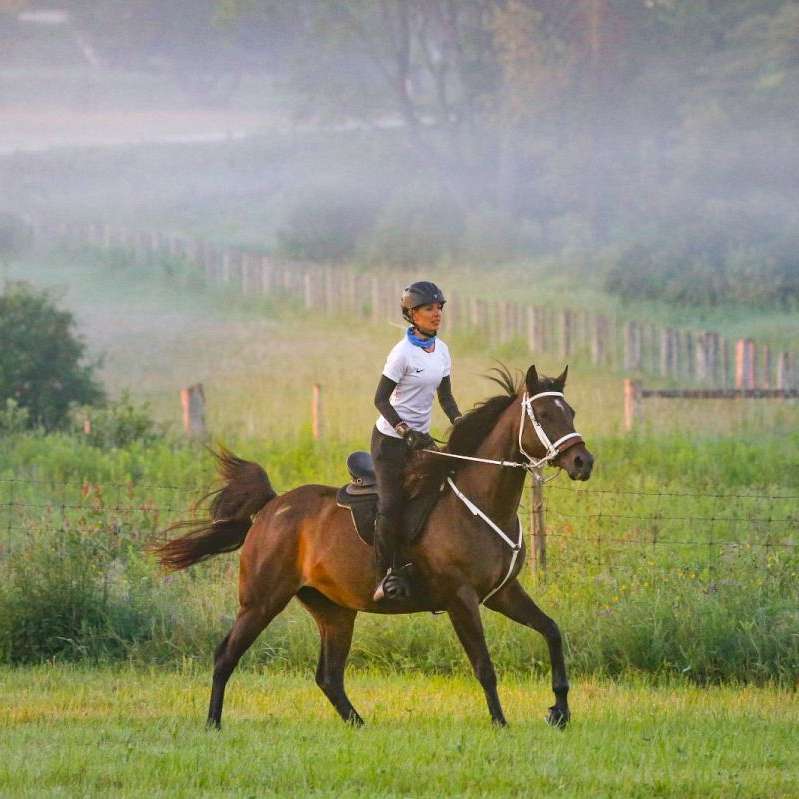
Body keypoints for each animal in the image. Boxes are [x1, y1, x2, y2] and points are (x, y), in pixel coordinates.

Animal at [155, 368, 592, 732]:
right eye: (544, 416)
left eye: (570, 411)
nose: (583, 462)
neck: (481, 501)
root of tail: (271, 507)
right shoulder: (461, 598)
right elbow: (484, 665)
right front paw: (501, 723)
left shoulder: (502, 593)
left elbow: (552, 631)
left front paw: (559, 712)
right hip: (261, 601)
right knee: (226, 655)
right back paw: (213, 724)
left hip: (334, 610)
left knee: (329, 676)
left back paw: (359, 725)